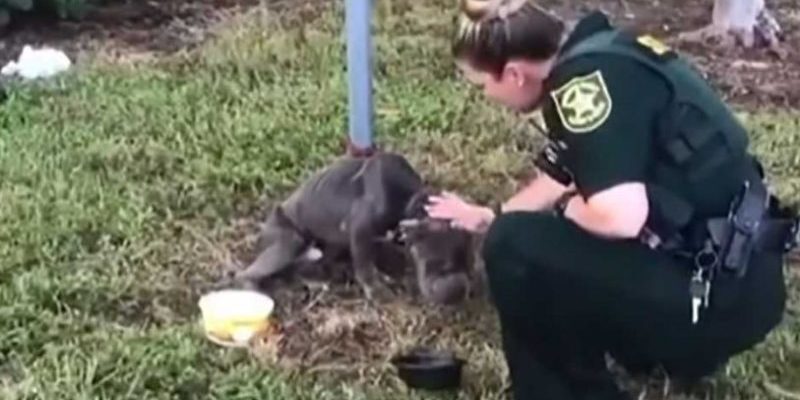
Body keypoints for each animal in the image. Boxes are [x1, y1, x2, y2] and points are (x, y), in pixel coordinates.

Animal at [234, 152, 476, 304]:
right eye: (437, 261)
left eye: (467, 260)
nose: (457, 291)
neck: (409, 200)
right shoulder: (360, 230)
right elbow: (364, 264)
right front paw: (376, 290)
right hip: (288, 241)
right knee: (248, 273)